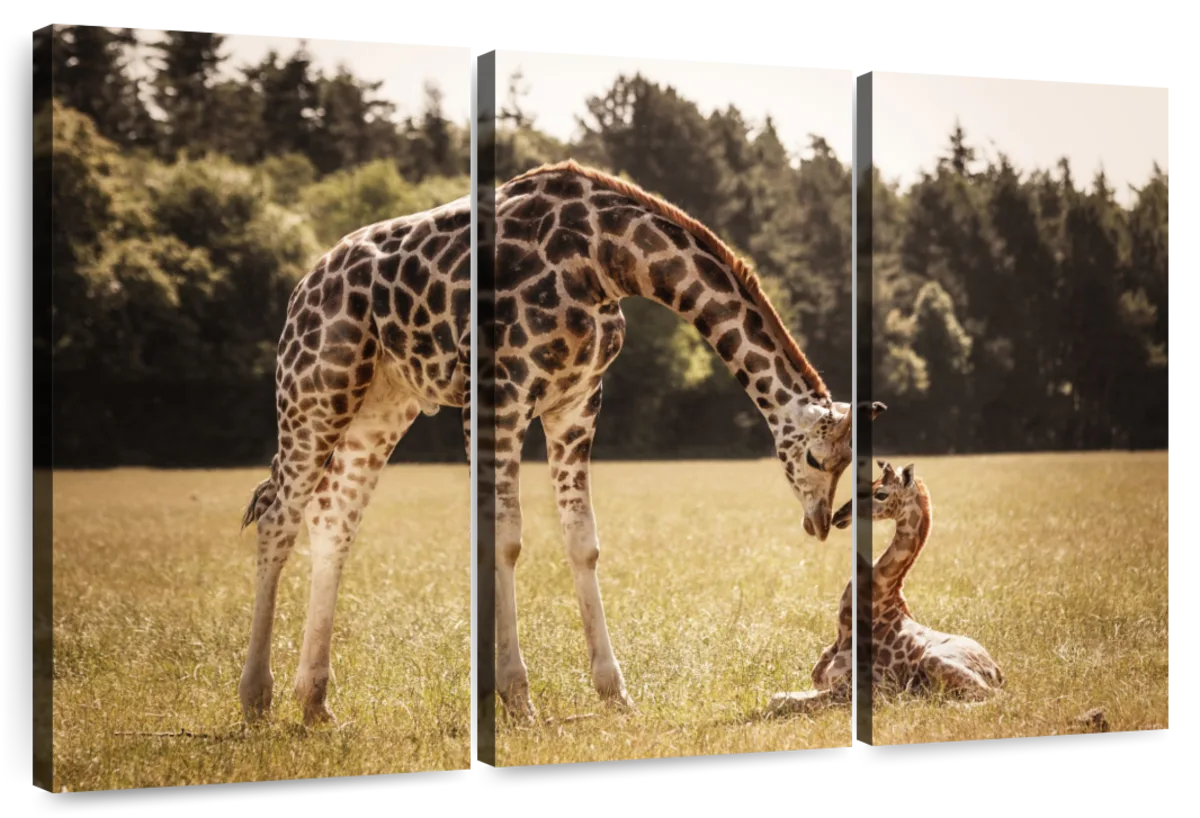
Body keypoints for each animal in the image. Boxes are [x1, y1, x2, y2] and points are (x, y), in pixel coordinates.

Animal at [236, 192, 472, 726]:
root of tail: (302, 285)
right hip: (317, 393)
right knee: (281, 517)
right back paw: (257, 696)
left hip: (380, 404)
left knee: (330, 517)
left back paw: (314, 702)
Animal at [491, 159, 885, 721]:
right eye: (814, 456)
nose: (820, 522)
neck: (604, 251)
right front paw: (518, 697)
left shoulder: (574, 401)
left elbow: (577, 539)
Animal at [766, 459, 1004, 717]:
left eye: (881, 494)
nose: (839, 515)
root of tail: (998, 672)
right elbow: (777, 697)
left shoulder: (856, 691)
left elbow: (780, 700)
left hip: (936, 660)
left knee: (993, 697)